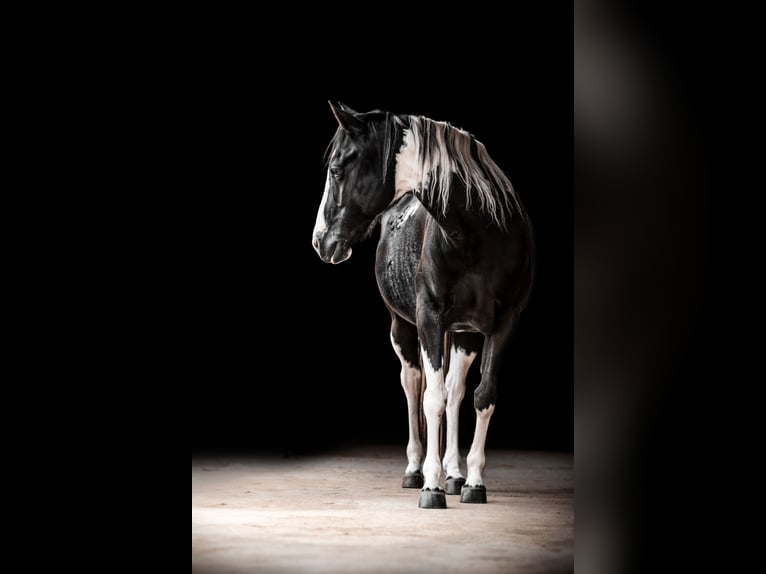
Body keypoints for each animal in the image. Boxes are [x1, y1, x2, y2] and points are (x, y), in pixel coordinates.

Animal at [311, 102, 535, 508]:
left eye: (336, 169)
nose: (320, 241)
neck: (479, 234)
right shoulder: (429, 319)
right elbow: (431, 399)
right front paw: (431, 486)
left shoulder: (503, 324)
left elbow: (481, 396)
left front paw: (472, 481)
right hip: (403, 327)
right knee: (413, 382)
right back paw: (415, 470)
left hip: (464, 333)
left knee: (456, 391)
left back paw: (455, 474)